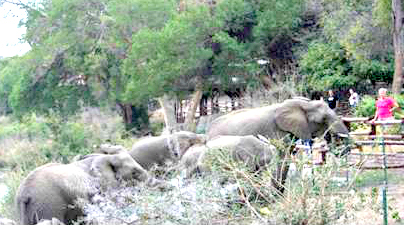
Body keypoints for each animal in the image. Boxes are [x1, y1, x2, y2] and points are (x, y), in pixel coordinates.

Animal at [207, 99, 348, 192]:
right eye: (323, 119)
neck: (303, 104)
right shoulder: (277, 132)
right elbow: (282, 158)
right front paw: (277, 194)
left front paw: (278, 193)